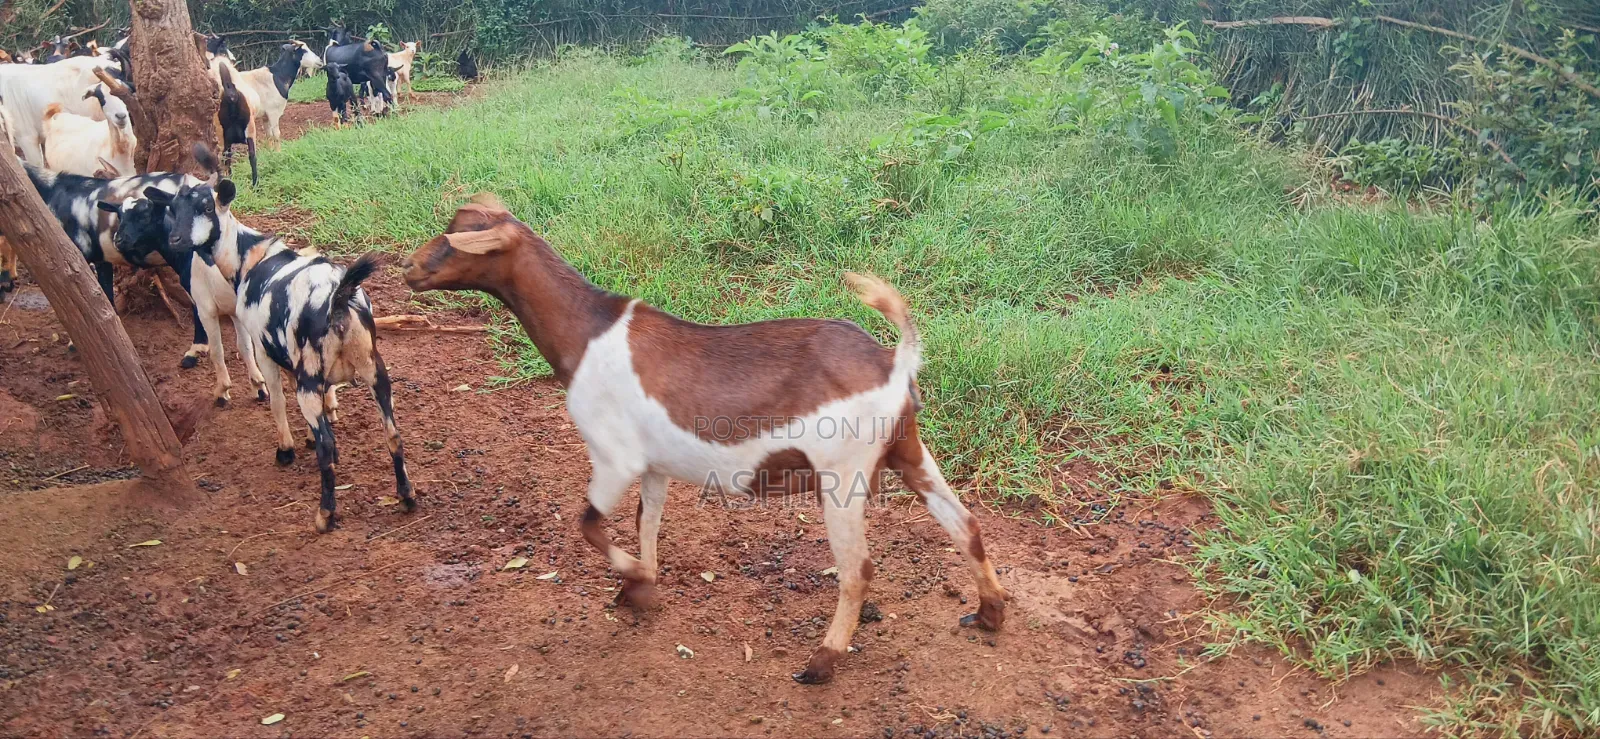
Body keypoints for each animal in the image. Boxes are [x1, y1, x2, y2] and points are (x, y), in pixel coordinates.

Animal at [164, 180, 416, 532]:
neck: (250, 258)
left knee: (324, 439)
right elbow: (325, 405)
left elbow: (276, 399)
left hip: (308, 375)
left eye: (205, 207)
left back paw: (325, 515)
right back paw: (406, 497)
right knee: (392, 433)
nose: (174, 240)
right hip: (374, 369)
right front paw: (317, 435)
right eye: (172, 207)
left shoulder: (265, 350)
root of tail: (339, 297)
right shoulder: (311, 370)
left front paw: (285, 449)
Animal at [402, 196, 1009, 684]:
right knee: (965, 524)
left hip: (843, 473)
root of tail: (893, 363)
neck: (586, 332)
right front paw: (640, 587)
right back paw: (990, 613)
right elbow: (646, 522)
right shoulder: (653, 466)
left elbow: (589, 524)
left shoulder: (614, 457)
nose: (407, 267)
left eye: (455, 239)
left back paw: (822, 661)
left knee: (858, 569)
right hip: (907, 450)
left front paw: (635, 583)